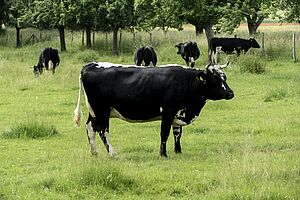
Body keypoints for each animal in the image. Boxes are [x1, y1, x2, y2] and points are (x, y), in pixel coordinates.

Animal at [73, 61, 234, 158]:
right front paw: (163, 154)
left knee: (90, 128)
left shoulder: (178, 113)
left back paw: (94, 152)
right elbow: (165, 133)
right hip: (102, 110)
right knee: (102, 131)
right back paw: (112, 153)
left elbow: (177, 134)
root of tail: (91, 64)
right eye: (214, 79)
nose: (230, 93)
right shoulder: (168, 110)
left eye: (224, 77)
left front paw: (178, 151)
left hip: (94, 111)